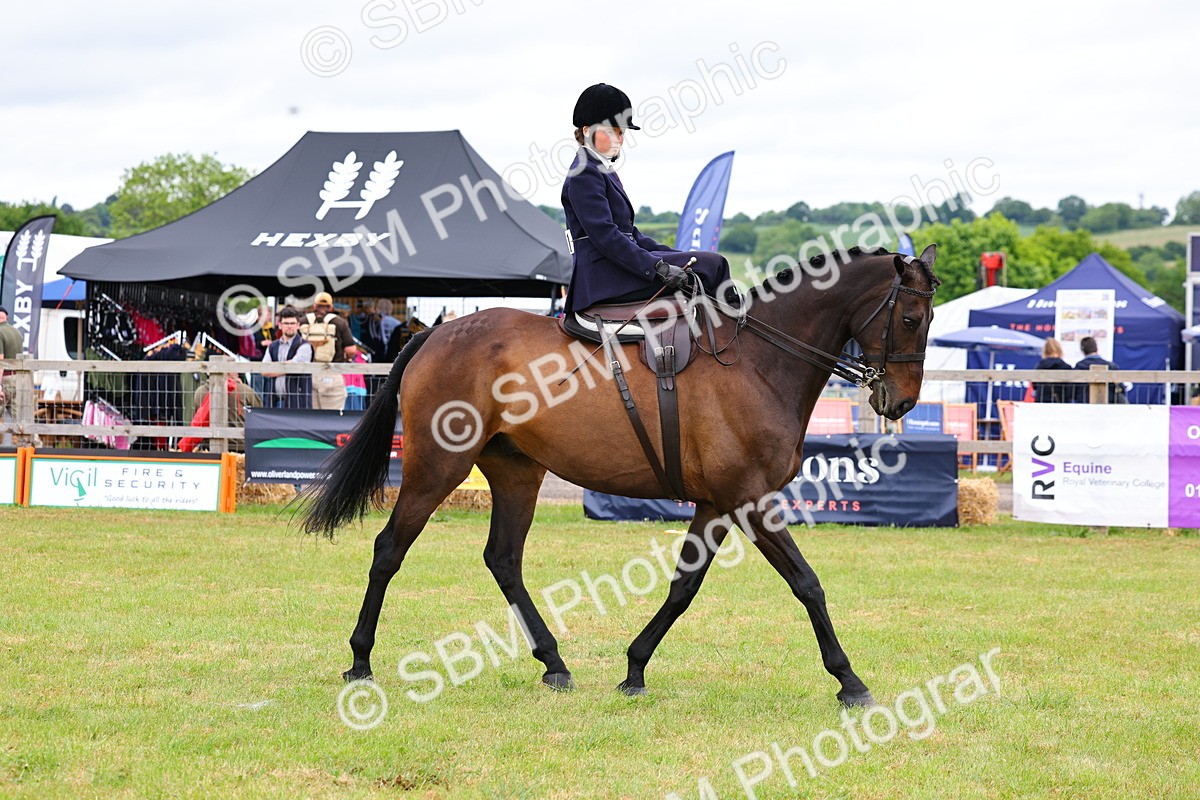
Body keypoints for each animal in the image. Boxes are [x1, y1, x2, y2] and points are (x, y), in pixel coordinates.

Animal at [303, 244, 940, 707]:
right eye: (910, 317)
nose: (903, 401)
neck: (759, 361)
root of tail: (435, 332)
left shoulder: (718, 505)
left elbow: (683, 588)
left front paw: (634, 669)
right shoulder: (750, 499)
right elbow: (807, 583)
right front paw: (850, 681)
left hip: (515, 471)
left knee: (503, 559)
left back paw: (554, 664)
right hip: (438, 466)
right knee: (390, 548)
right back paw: (360, 660)